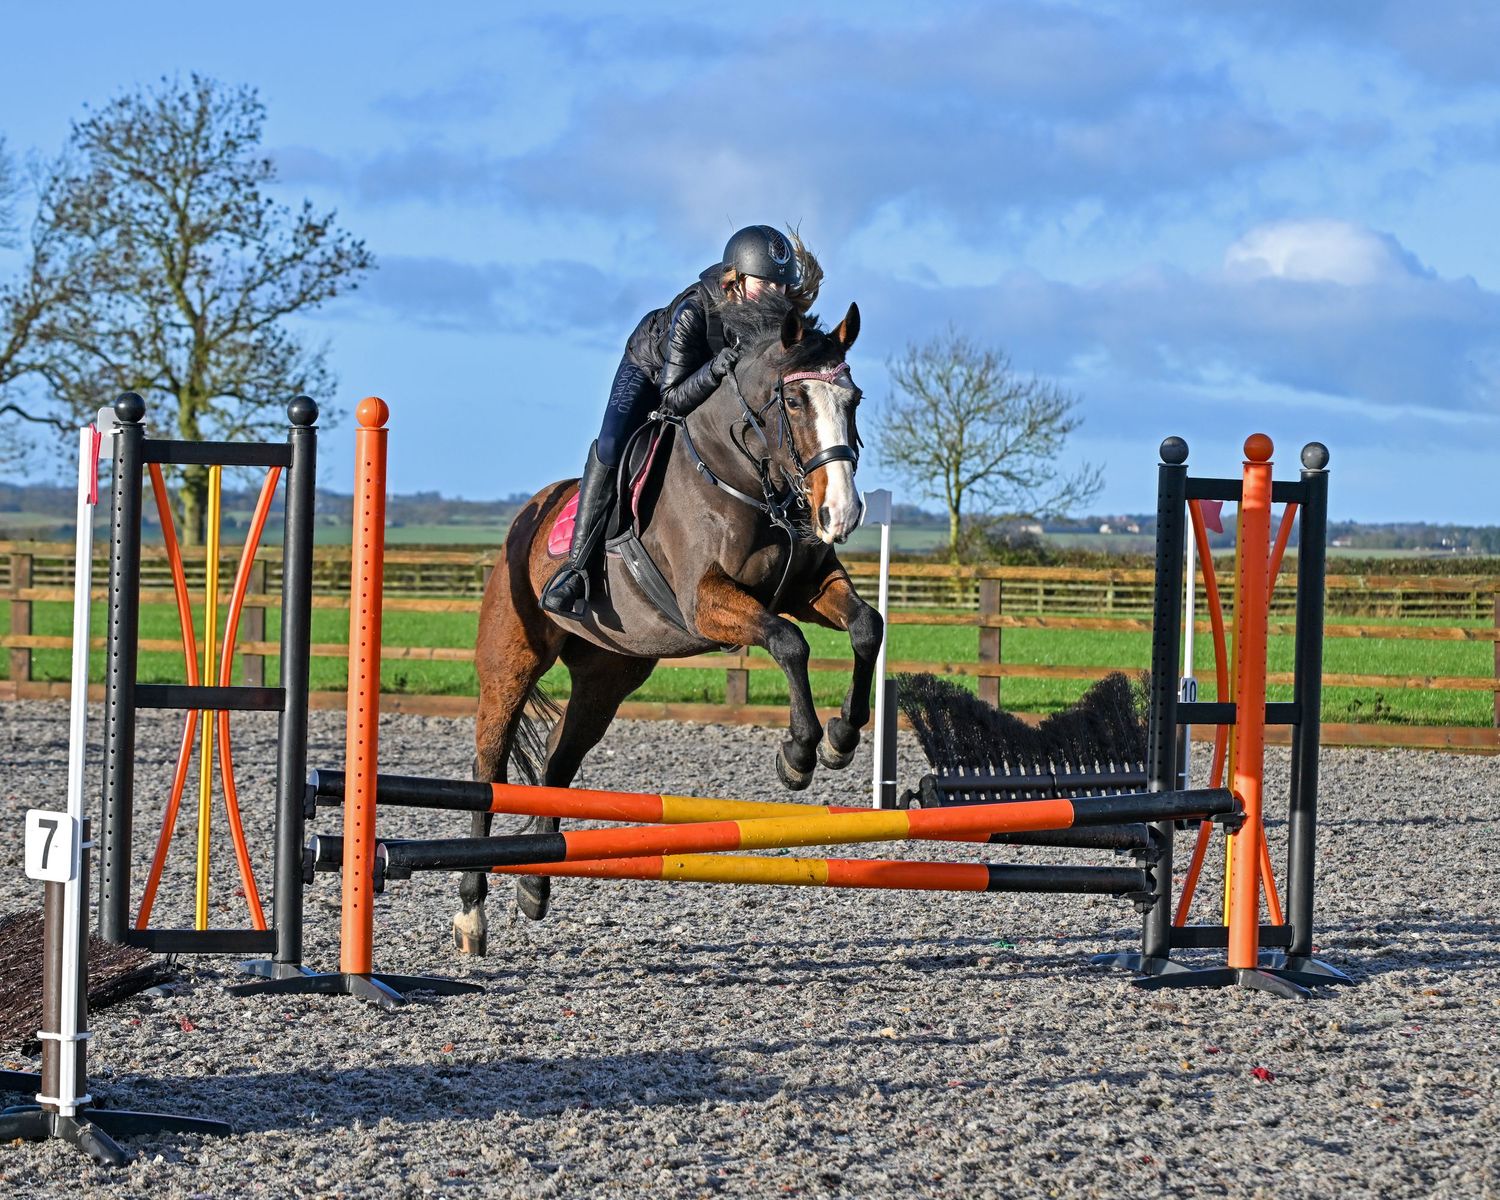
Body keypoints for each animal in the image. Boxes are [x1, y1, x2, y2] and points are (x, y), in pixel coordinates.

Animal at [456, 295, 884, 955]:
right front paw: (799, 753)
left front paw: (840, 739)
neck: (745, 477)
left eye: (853, 399)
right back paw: (472, 912)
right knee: (490, 767)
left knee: (558, 759)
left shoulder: (808, 589)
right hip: (512, 661)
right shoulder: (706, 602)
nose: (842, 513)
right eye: (792, 401)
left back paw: (534, 886)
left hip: (609, 673)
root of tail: (529, 515)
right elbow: (789, 641)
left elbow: (867, 626)